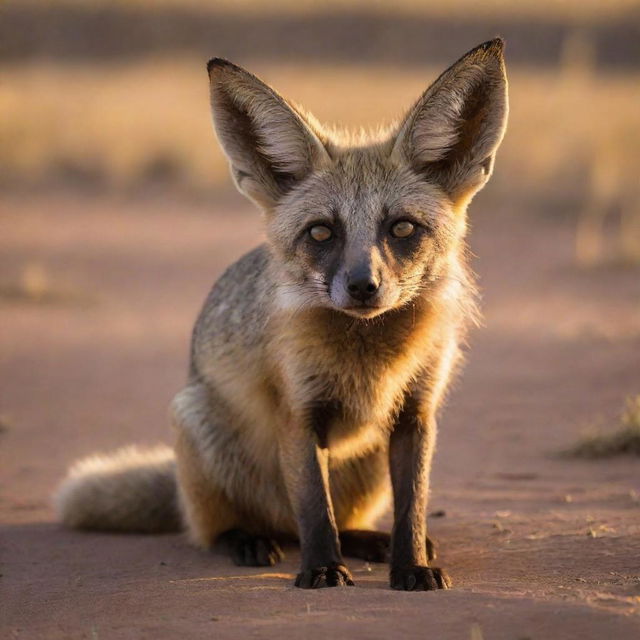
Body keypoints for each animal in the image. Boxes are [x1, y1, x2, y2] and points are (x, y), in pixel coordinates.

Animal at [57, 38, 512, 592]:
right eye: (321, 232)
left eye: (402, 228)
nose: (363, 287)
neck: (368, 361)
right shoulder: (298, 409)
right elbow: (315, 509)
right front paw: (322, 570)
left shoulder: (416, 412)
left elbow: (413, 507)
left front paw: (412, 567)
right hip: (198, 424)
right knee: (232, 527)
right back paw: (249, 540)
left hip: (366, 466)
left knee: (332, 520)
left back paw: (369, 541)